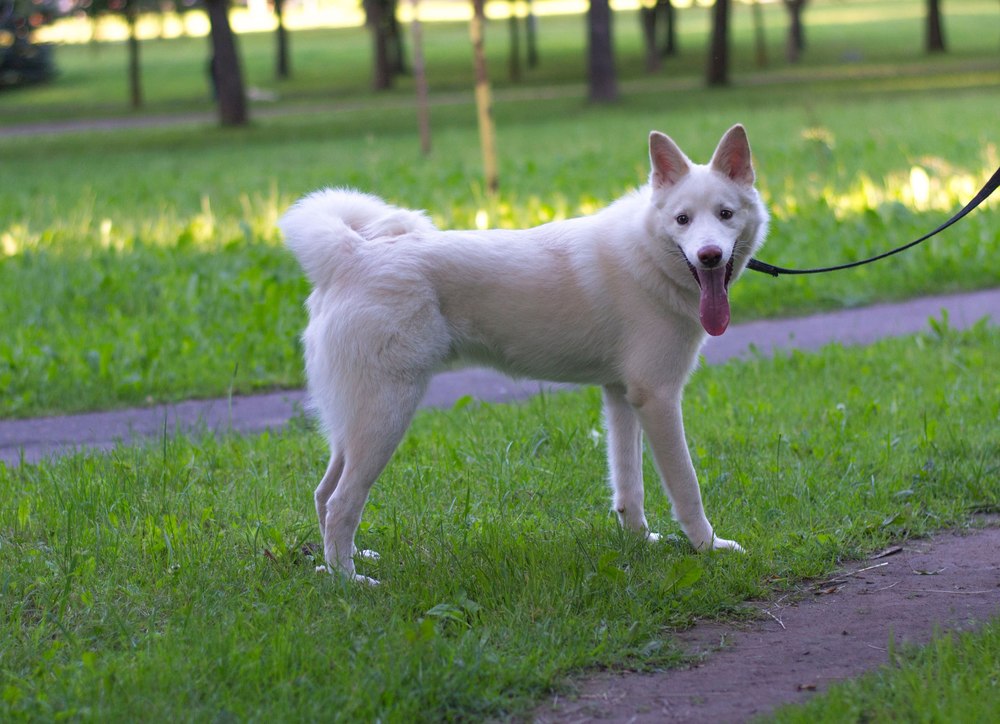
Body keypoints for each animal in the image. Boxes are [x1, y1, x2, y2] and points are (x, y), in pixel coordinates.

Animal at [278, 127, 768, 584]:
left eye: (725, 214)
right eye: (682, 219)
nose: (709, 256)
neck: (648, 256)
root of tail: (351, 256)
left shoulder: (621, 397)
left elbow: (629, 487)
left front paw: (640, 543)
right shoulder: (659, 399)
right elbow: (686, 487)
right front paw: (708, 547)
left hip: (356, 423)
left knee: (323, 494)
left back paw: (342, 563)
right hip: (384, 418)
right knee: (341, 502)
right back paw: (350, 582)